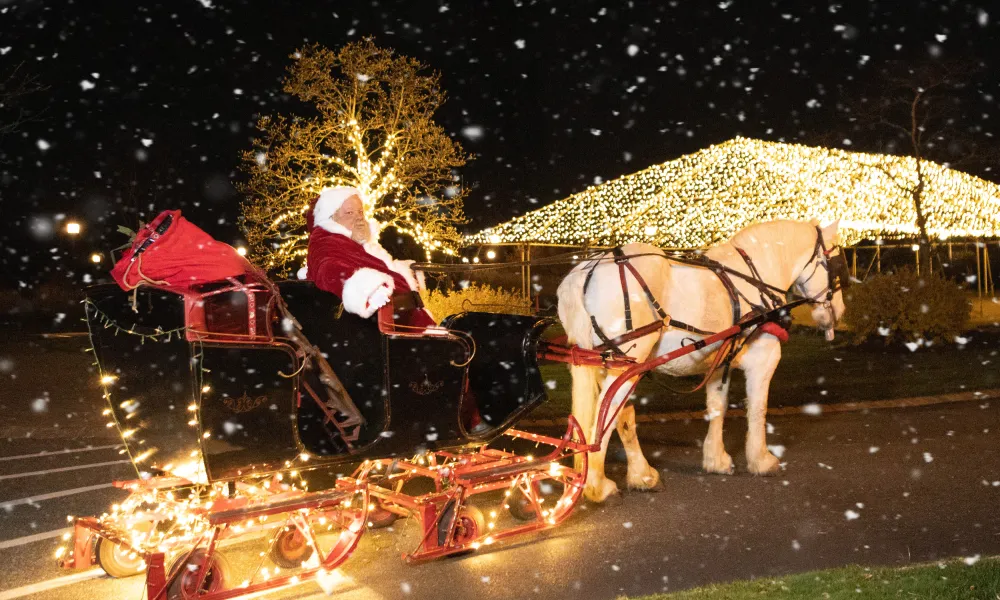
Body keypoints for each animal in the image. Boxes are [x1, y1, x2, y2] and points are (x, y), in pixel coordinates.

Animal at [560, 220, 848, 502]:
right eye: (836, 261)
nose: (840, 310)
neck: (753, 278)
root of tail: (586, 270)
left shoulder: (720, 363)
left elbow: (717, 407)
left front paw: (716, 460)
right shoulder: (764, 358)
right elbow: (758, 409)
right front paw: (762, 461)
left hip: (608, 364)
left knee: (621, 415)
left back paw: (643, 477)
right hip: (628, 362)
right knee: (604, 414)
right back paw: (598, 486)